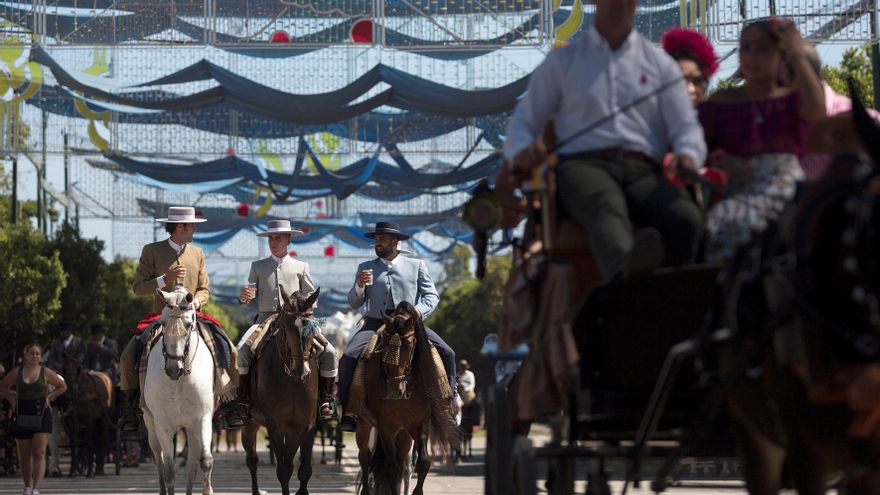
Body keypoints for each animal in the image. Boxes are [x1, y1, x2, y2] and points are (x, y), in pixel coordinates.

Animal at [144, 286, 216, 495]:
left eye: (189, 323)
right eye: (163, 322)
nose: (173, 369)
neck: (180, 380)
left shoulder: (203, 418)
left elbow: (205, 461)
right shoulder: (162, 424)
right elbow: (168, 468)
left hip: (191, 427)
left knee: (191, 462)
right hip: (150, 424)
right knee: (158, 459)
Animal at [242, 286, 322, 495]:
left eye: (312, 328)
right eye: (287, 329)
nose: (302, 371)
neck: (292, 380)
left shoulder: (307, 425)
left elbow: (304, 470)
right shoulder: (274, 425)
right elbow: (283, 471)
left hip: (292, 430)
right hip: (250, 424)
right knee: (252, 460)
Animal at [356, 302, 460, 495]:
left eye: (411, 345)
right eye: (384, 343)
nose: (395, 390)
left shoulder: (421, 423)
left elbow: (423, 463)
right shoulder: (385, 426)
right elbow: (391, 468)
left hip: (405, 433)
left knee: (402, 464)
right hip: (365, 423)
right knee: (365, 457)